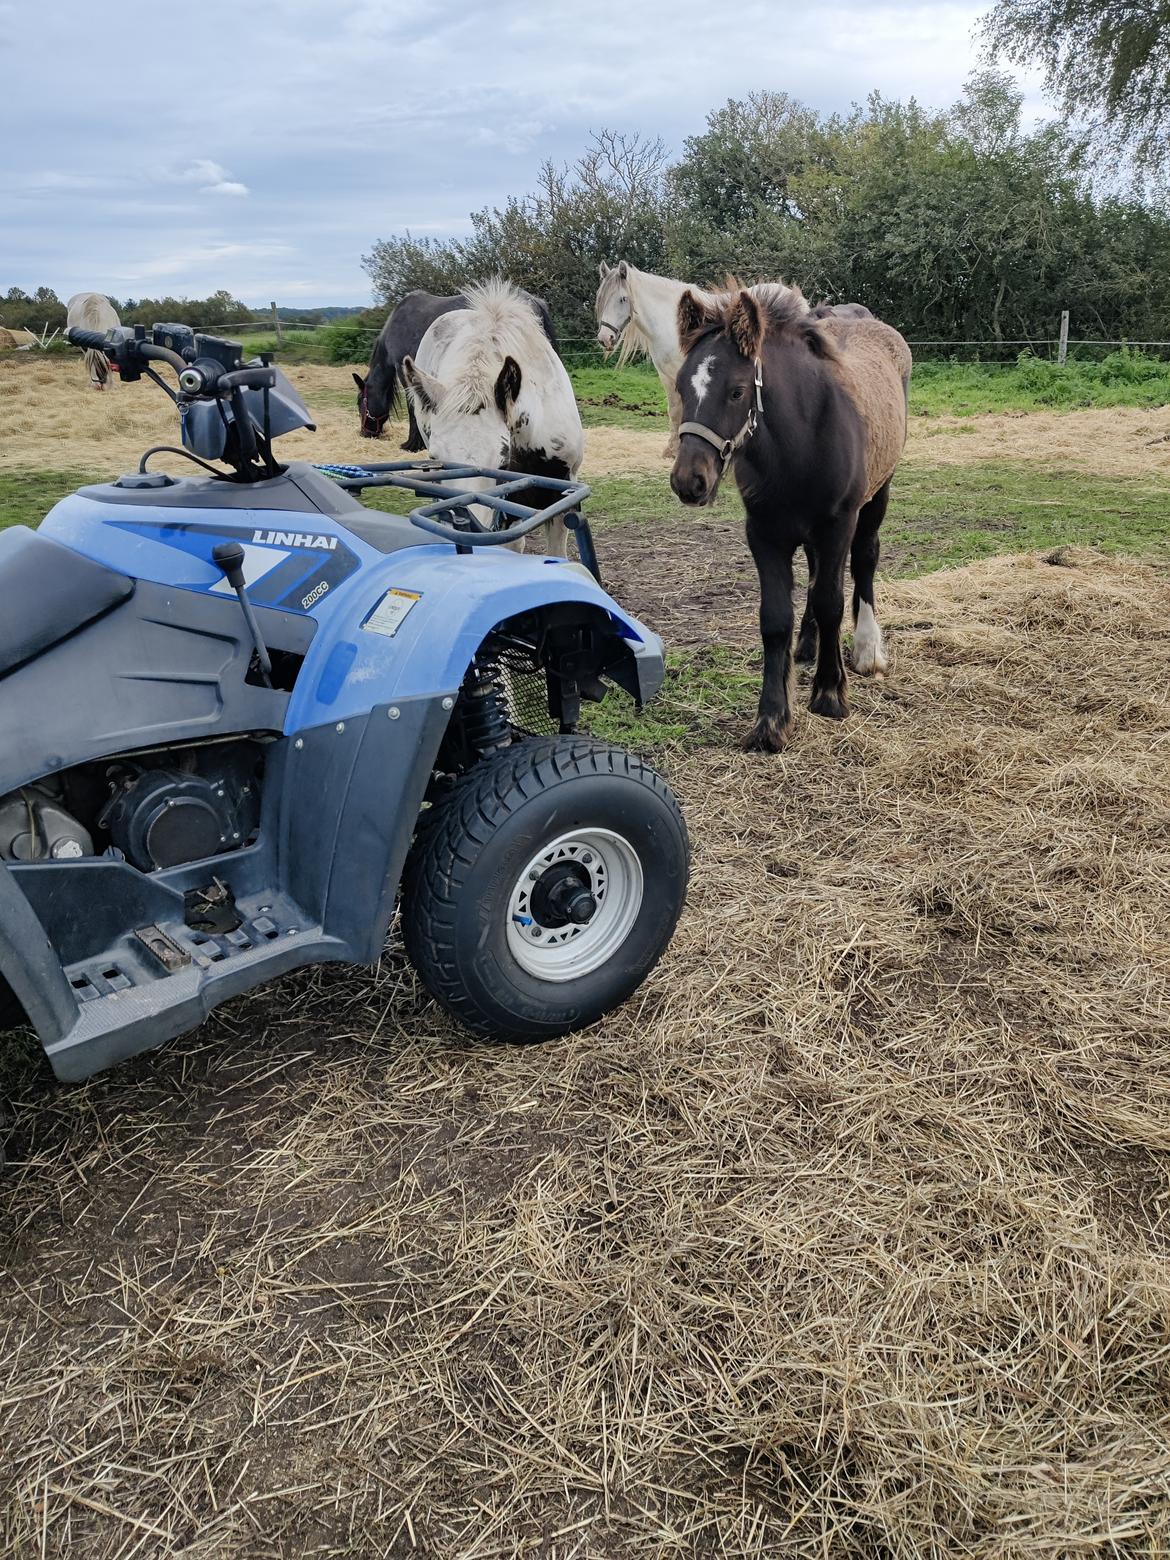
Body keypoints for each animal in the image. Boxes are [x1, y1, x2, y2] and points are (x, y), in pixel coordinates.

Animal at [355, 288, 561, 446]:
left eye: (360, 403)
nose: (365, 433)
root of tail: (535, 301)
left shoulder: (403, 369)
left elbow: (413, 407)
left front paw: (412, 444)